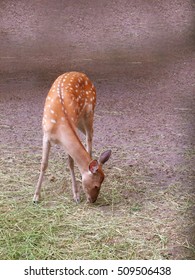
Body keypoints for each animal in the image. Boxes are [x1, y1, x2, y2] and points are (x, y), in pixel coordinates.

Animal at [33, 72, 111, 203]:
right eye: (96, 185)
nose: (93, 200)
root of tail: (81, 74)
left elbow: (70, 163)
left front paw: (76, 195)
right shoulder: (46, 135)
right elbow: (44, 164)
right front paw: (36, 197)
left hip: (89, 113)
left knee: (90, 136)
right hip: (81, 121)